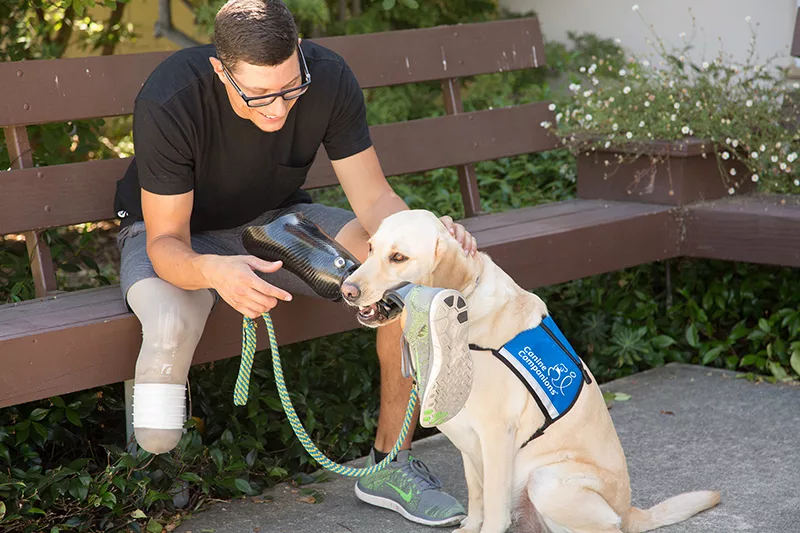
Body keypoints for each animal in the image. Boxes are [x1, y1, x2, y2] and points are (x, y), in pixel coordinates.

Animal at [340, 210, 716, 528]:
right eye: (370, 248)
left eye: (398, 258)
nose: (347, 289)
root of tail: (629, 512)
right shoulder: (468, 441)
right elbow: (476, 497)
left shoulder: (496, 435)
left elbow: (493, 507)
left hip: (547, 480)